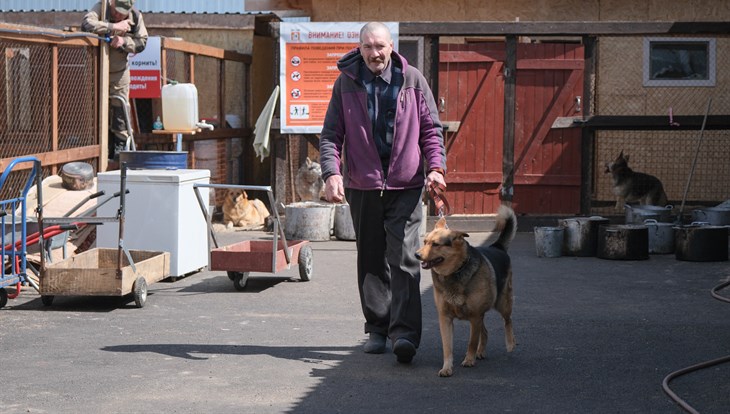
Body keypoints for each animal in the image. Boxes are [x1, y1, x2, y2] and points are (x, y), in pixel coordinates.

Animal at [416, 205, 516, 376]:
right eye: (425, 242)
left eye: (435, 244)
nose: (416, 255)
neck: (455, 271)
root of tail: (497, 247)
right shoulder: (445, 318)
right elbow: (447, 347)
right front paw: (447, 367)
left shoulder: (475, 316)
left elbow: (472, 342)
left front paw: (469, 360)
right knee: (485, 331)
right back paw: (481, 352)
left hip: (502, 303)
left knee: (507, 320)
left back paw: (510, 343)